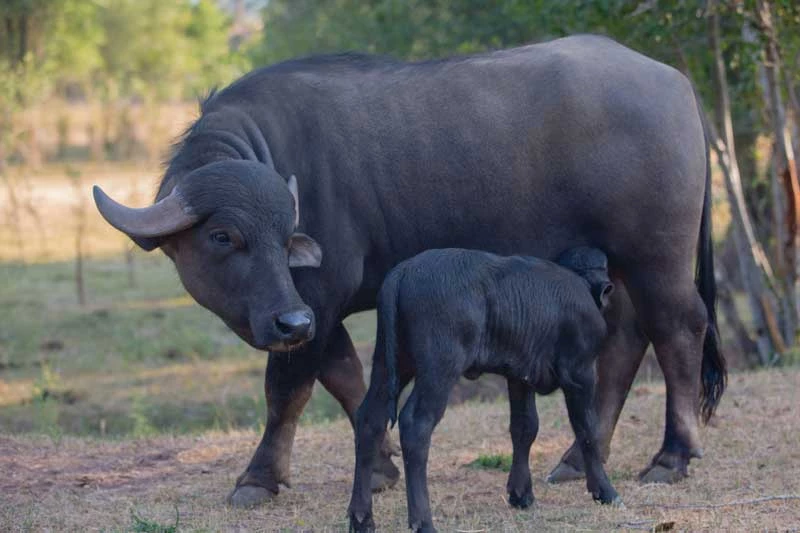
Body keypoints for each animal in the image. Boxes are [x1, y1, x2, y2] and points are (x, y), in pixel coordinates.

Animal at [348, 247, 620, 528]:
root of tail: (403, 271)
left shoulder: (520, 377)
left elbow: (525, 427)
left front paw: (520, 493)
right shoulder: (581, 373)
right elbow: (587, 429)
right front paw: (604, 490)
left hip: (388, 364)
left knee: (370, 419)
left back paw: (361, 517)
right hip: (439, 370)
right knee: (415, 425)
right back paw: (422, 521)